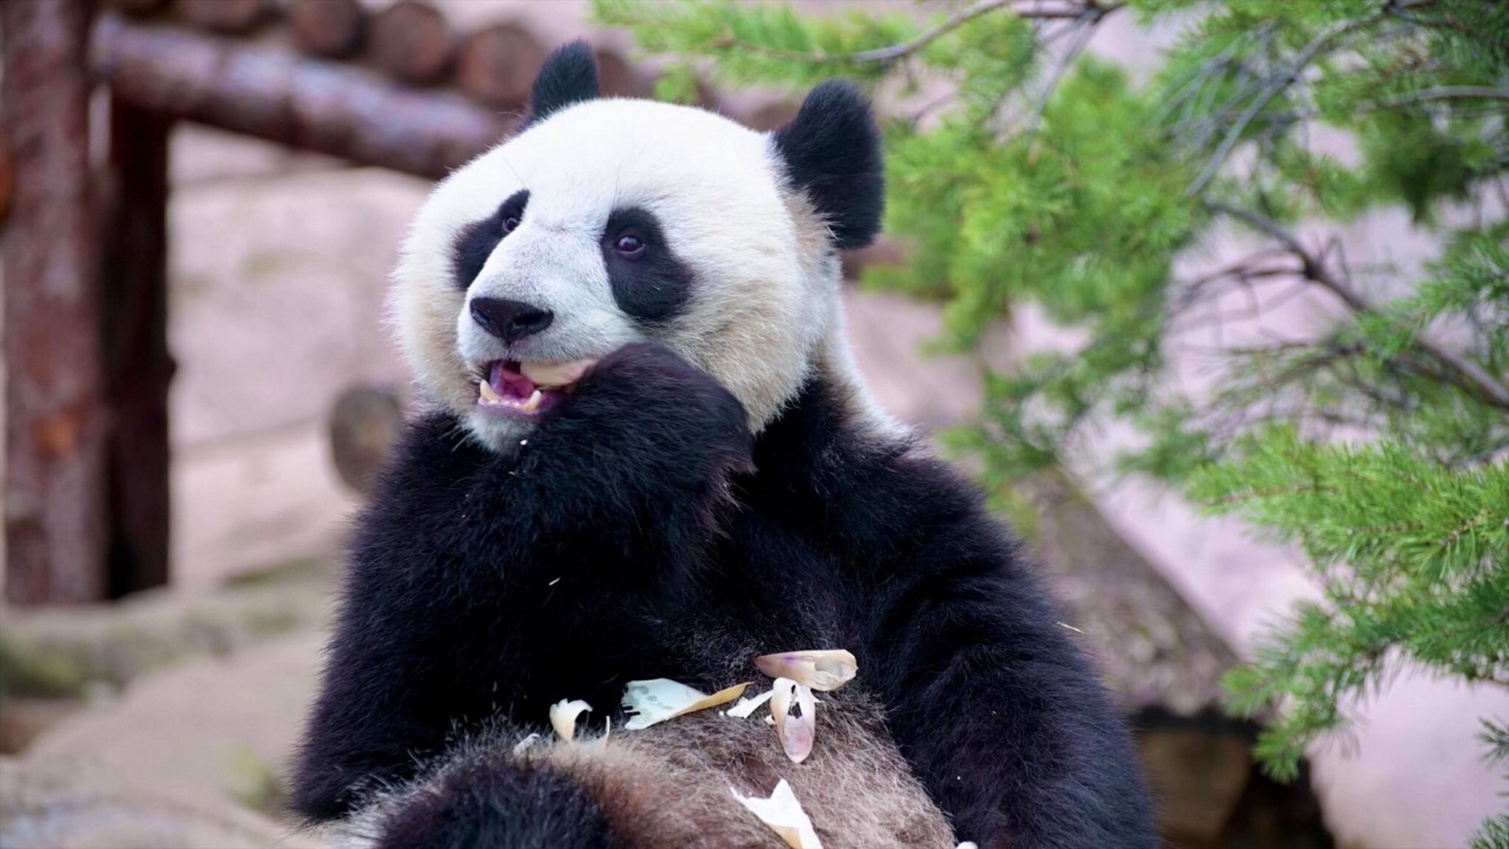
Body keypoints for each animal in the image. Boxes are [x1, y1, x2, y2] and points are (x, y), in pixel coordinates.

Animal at [285, 43, 1152, 849]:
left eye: (630, 241)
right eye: (503, 219)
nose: (506, 310)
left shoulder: (864, 511)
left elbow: (1013, 692)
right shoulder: (432, 482)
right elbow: (376, 722)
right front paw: (647, 417)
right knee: (503, 801)